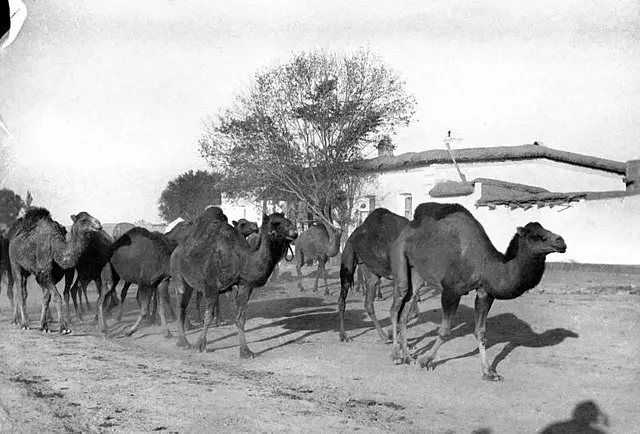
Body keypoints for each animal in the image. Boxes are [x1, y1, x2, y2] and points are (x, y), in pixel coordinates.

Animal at [171, 207, 297, 357]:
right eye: (275, 222)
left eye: (287, 220)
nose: (294, 232)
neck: (241, 260)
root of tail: (176, 250)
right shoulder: (211, 287)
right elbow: (208, 317)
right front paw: (199, 345)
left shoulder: (245, 286)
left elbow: (240, 319)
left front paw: (245, 352)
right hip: (178, 275)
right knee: (180, 306)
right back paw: (183, 343)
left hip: (190, 283)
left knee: (183, 306)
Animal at [389, 202, 566, 380]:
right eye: (536, 236)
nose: (561, 241)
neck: (485, 264)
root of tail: (407, 229)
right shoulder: (451, 291)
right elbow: (445, 330)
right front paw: (426, 360)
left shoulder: (484, 294)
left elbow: (481, 333)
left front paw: (489, 372)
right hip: (399, 256)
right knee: (396, 308)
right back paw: (396, 355)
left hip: (417, 272)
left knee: (405, 311)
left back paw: (407, 357)